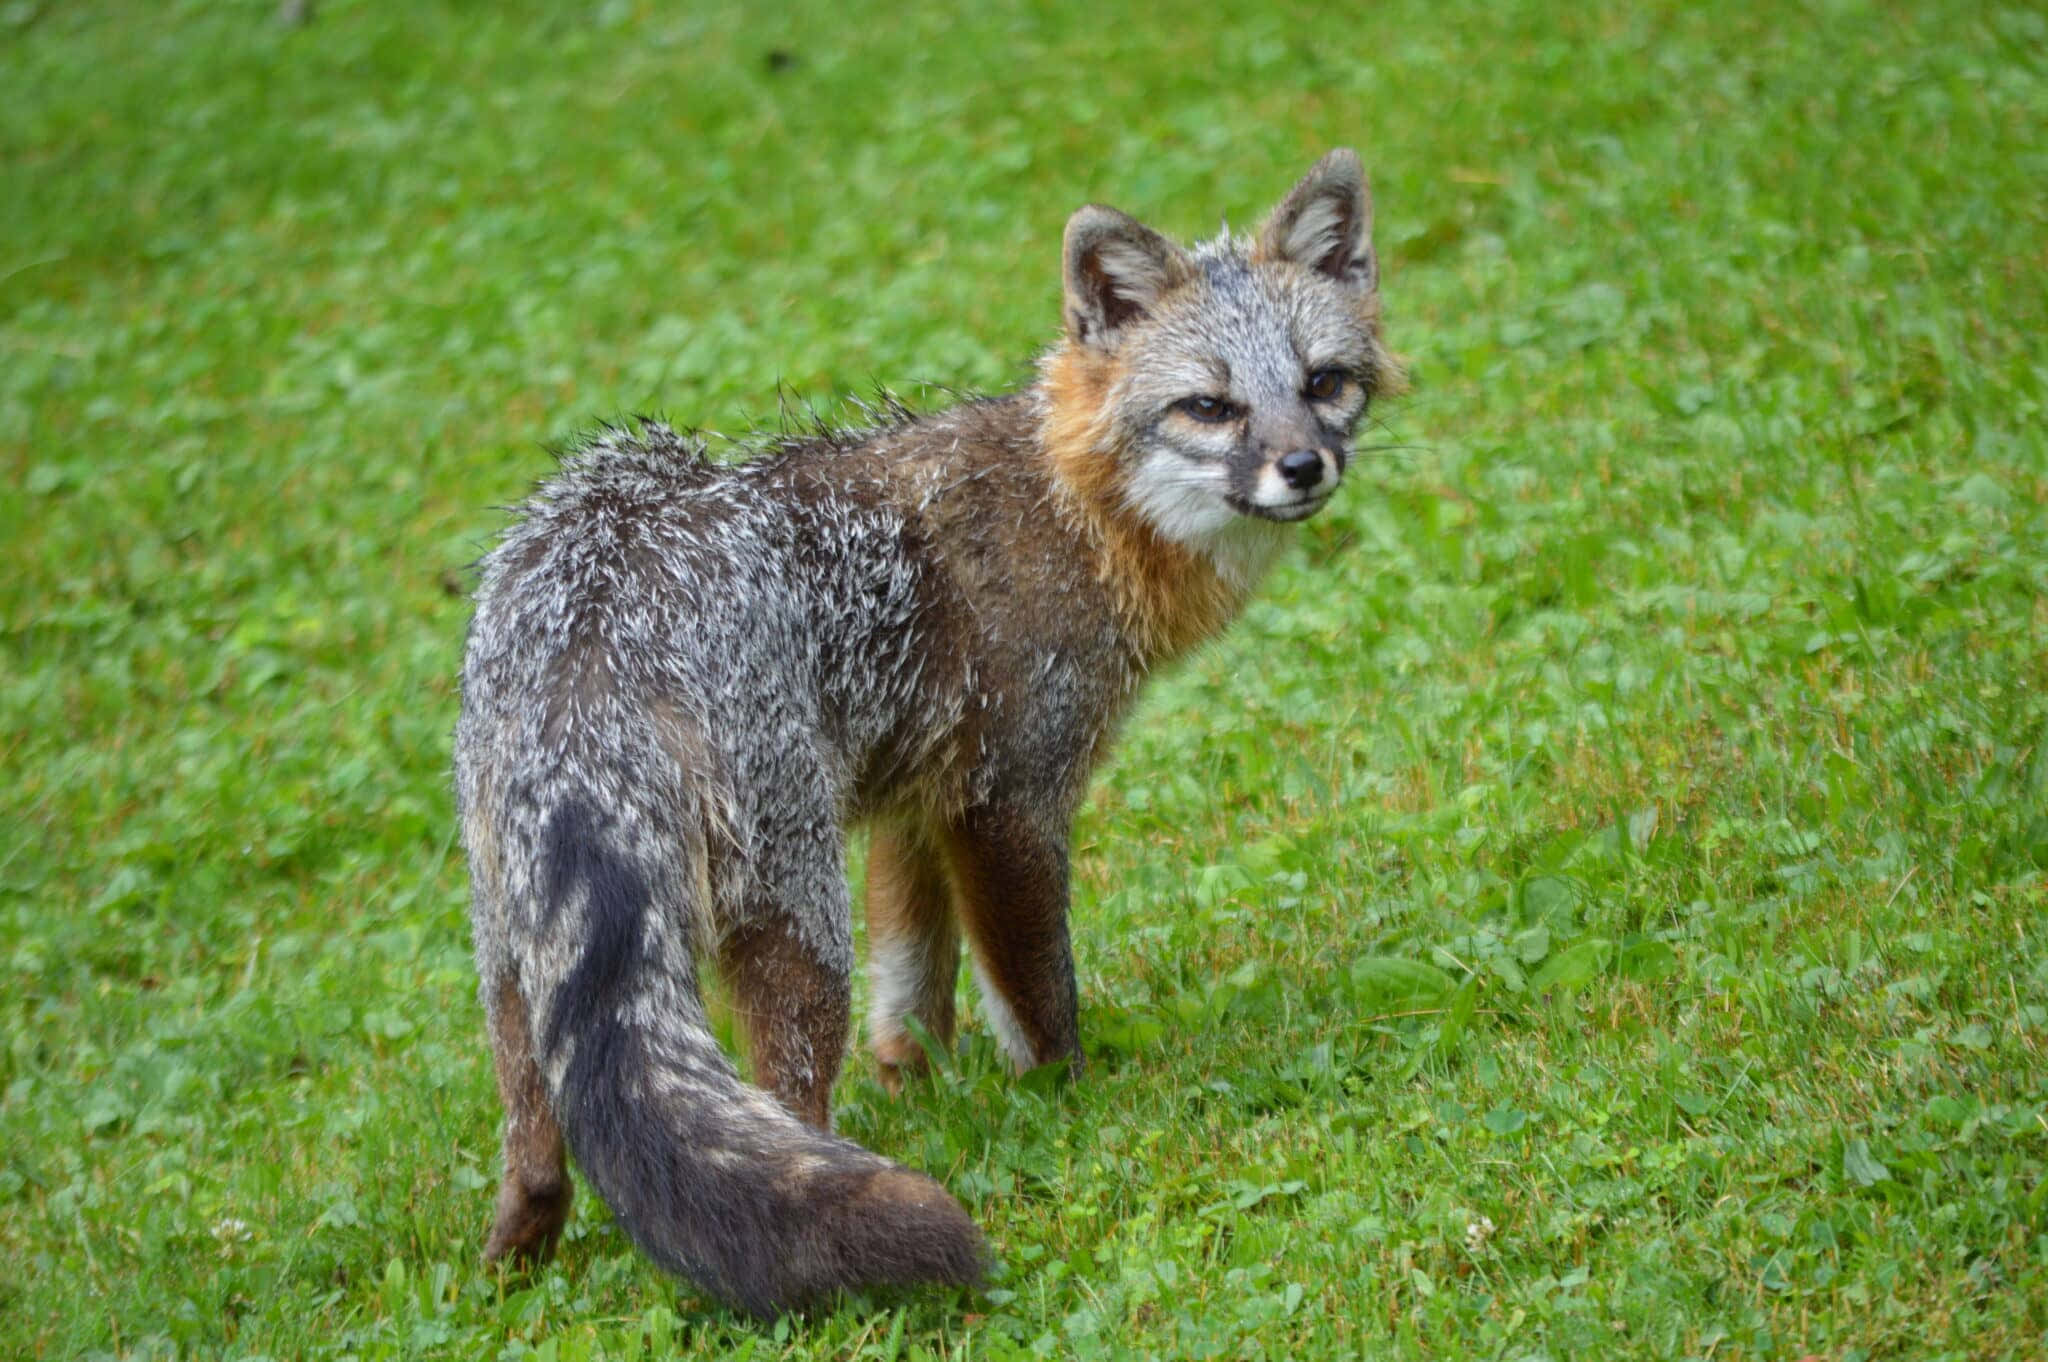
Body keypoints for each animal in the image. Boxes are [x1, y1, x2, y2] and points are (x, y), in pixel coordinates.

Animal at [454, 149, 1394, 1316]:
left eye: (1323, 382)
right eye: (1210, 408)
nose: (1304, 469)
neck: (1074, 510)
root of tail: (595, 594)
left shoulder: (916, 802)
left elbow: (915, 985)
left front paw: (922, 1087)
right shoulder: (1008, 802)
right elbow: (1037, 996)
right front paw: (1065, 1103)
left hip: (517, 953)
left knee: (539, 1152)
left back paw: (512, 1266)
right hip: (797, 923)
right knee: (785, 1108)